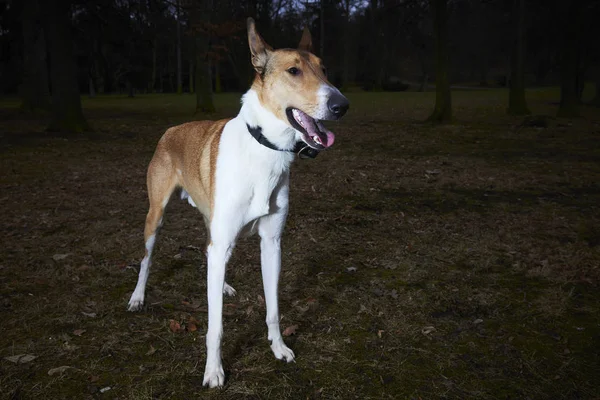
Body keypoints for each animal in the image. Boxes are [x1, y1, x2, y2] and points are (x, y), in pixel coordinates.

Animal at [129, 18, 350, 388]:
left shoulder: (271, 243)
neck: (264, 150)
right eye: (293, 71)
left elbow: (273, 309)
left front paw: (279, 348)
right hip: (155, 216)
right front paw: (213, 371)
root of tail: (170, 129)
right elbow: (215, 326)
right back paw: (138, 297)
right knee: (147, 259)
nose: (342, 105)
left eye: (324, 69)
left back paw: (223, 285)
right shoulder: (221, 241)